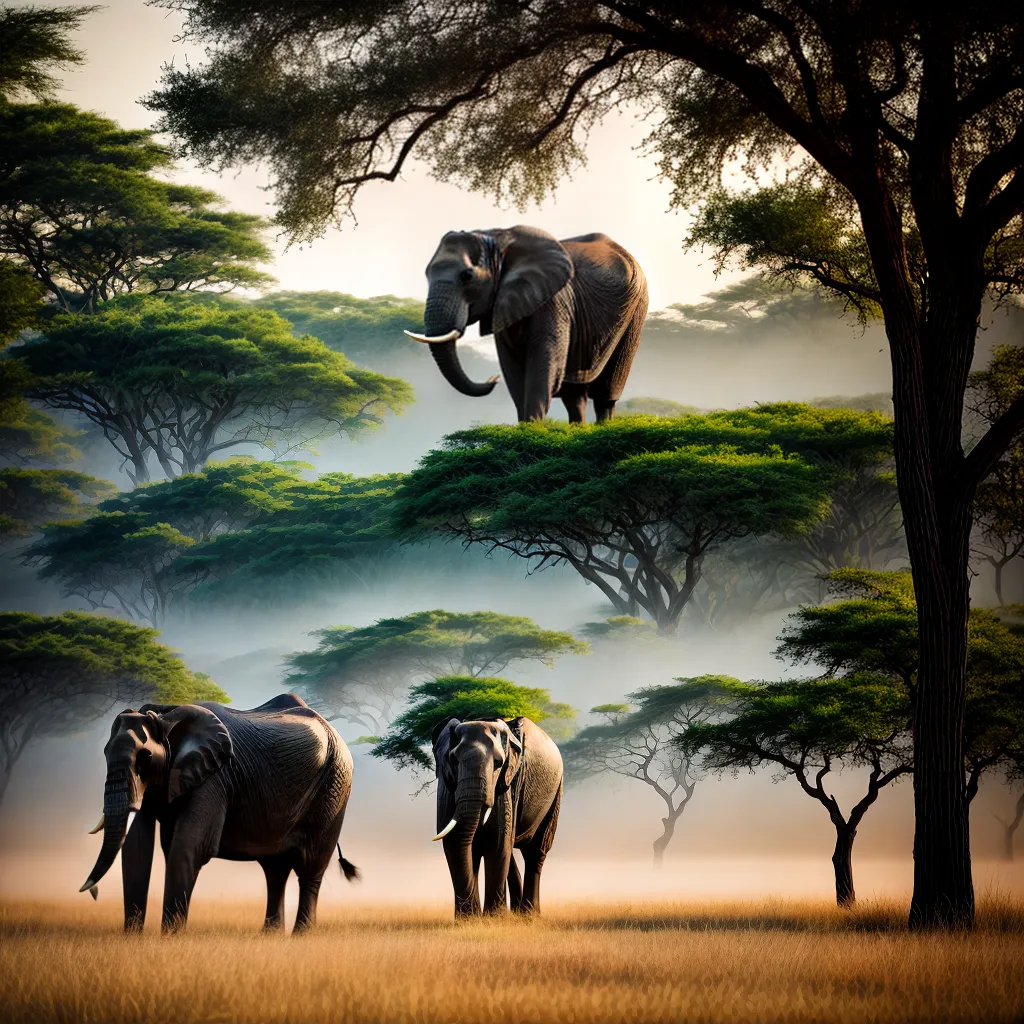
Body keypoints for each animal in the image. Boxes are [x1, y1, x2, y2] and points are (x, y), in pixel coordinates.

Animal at [79, 693, 357, 934]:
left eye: (145, 757)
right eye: (105, 753)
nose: (93, 892)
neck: (165, 716)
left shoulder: (215, 777)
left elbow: (189, 847)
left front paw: (170, 938)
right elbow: (138, 847)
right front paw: (134, 939)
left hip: (335, 785)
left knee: (310, 866)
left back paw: (300, 936)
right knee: (275, 870)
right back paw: (269, 935)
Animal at [404, 226, 648, 422]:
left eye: (467, 276)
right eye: (426, 274)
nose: (493, 380)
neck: (496, 239)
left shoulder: (554, 299)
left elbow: (544, 361)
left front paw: (533, 429)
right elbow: (511, 366)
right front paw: (525, 429)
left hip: (636, 310)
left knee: (606, 395)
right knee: (575, 395)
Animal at [431, 715, 563, 917]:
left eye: (499, 764)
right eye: (453, 760)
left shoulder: (507, 784)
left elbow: (497, 842)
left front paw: (493, 919)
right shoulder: (446, 785)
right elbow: (454, 842)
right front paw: (469, 920)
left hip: (556, 791)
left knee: (535, 851)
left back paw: (529, 916)